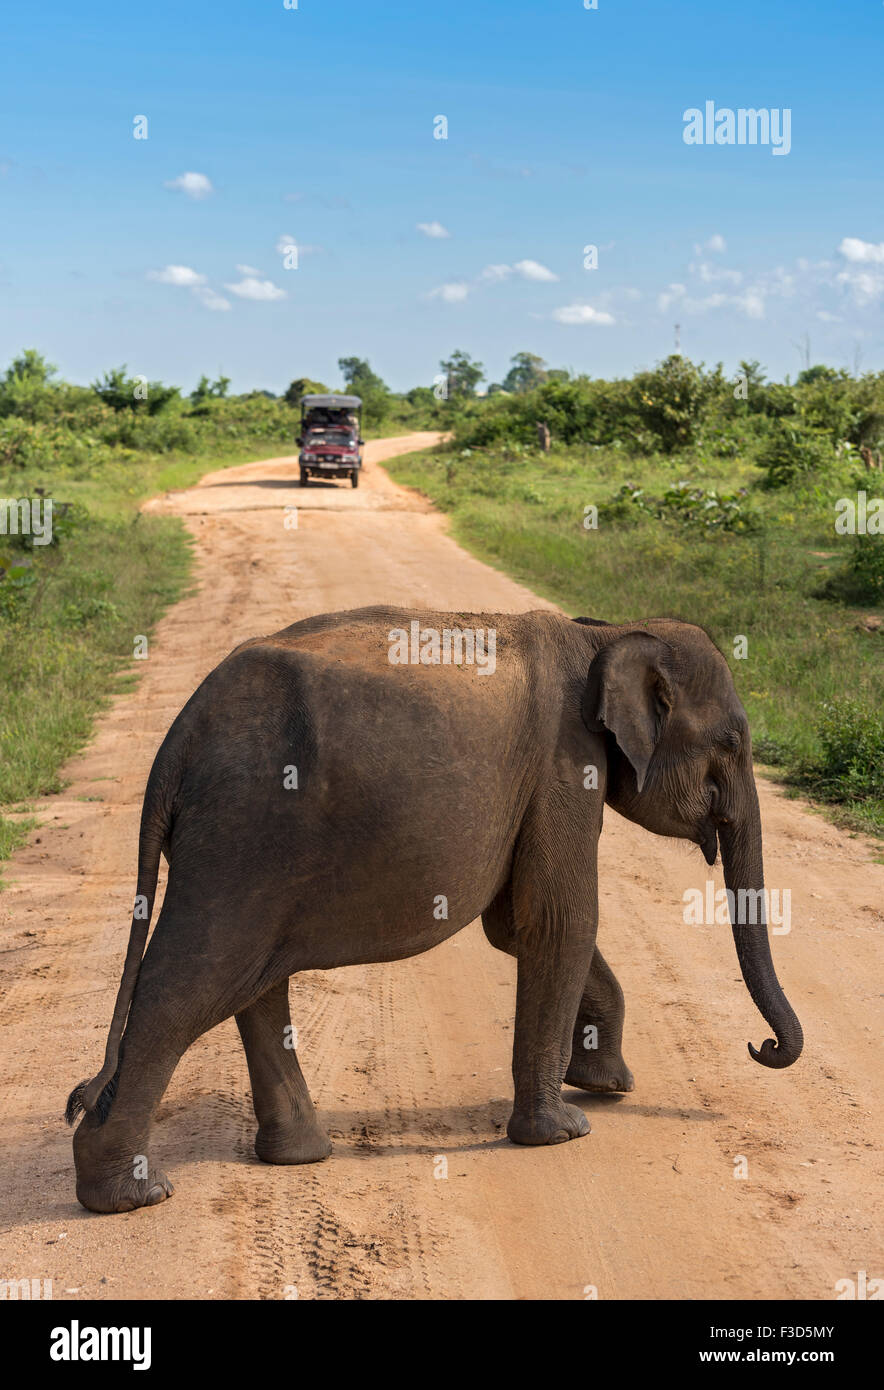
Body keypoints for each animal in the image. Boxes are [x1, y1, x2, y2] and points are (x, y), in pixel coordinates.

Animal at [65, 603, 806, 1212]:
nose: (763, 1046)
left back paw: (299, 1156)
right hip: (241, 833)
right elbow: (558, 921)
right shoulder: (563, 765)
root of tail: (177, 742)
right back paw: (133, 1195)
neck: (604, 634)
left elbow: (515, 928)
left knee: (253, 981)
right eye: (731, 744)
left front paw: (606, 1084)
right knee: (190, 984)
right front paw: (565, 1131)